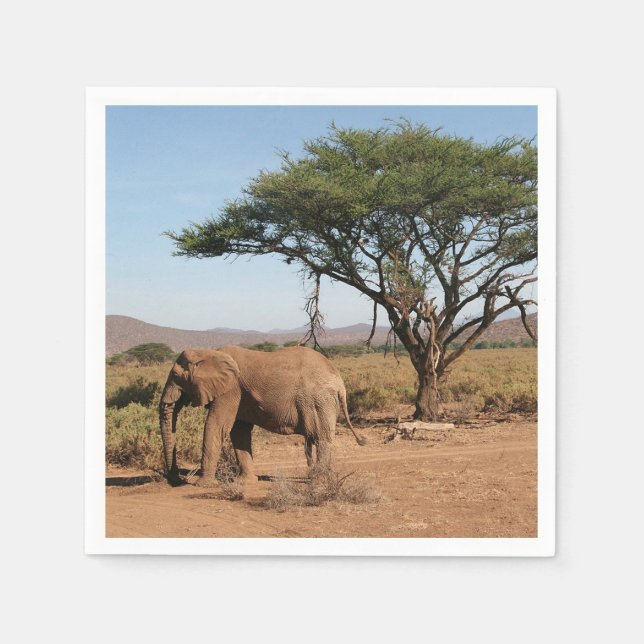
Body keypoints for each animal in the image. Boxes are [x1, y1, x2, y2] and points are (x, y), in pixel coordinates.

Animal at [159, 345, 365, 487]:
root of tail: (340, 382)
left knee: (321, 438)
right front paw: (245, 482)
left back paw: (319, 482)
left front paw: (203, 485)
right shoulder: (238, 395)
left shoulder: (230, 390)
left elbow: (216, 426)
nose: (176, 479)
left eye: (176, 376)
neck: (209, 353)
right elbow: (239, 432)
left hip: (319, 400)